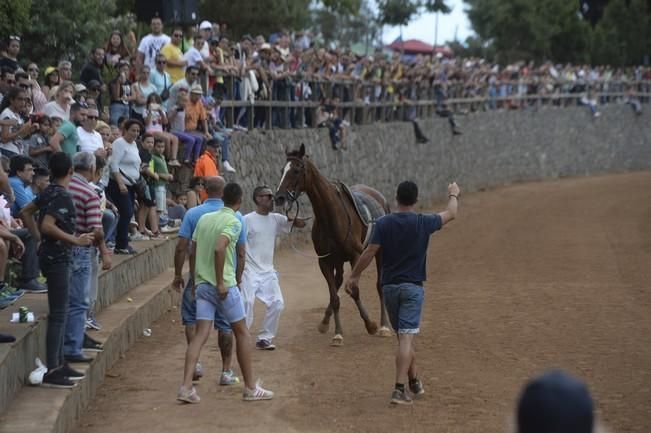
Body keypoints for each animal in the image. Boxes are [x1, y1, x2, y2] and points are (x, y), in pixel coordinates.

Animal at [276, 143, 392, 346]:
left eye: (296, 170)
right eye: (283, 170)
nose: (280, 197)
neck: (332, 215)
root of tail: (379, 196)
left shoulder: (356, 256)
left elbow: (353, 290)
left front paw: (370, 324)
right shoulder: (325, 261)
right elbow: (334, 295)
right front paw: (337, 333)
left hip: (379, 253)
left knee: (379, 285)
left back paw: (384, 326)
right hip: (338, 260)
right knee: (337, 283)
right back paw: (325, 321)